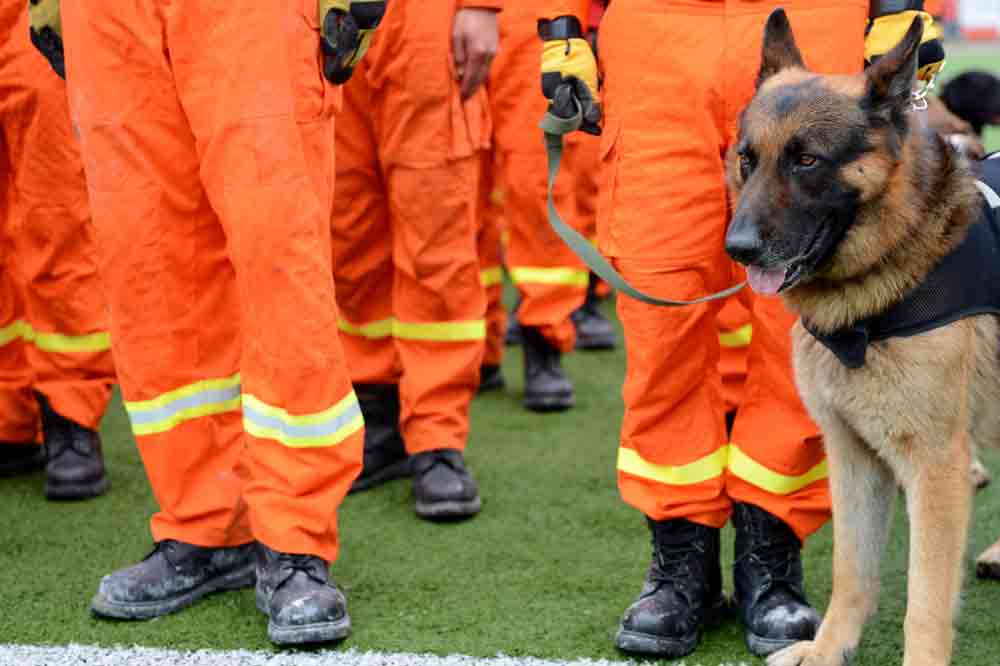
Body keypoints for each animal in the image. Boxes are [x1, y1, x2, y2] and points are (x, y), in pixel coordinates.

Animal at [724, 10, 996, 664]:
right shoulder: (853, 458)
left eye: (806, 160)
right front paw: (826, 651)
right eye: (748, 158)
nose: (737, 249)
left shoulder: (934, 470)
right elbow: (852, 571)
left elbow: (924, 604)